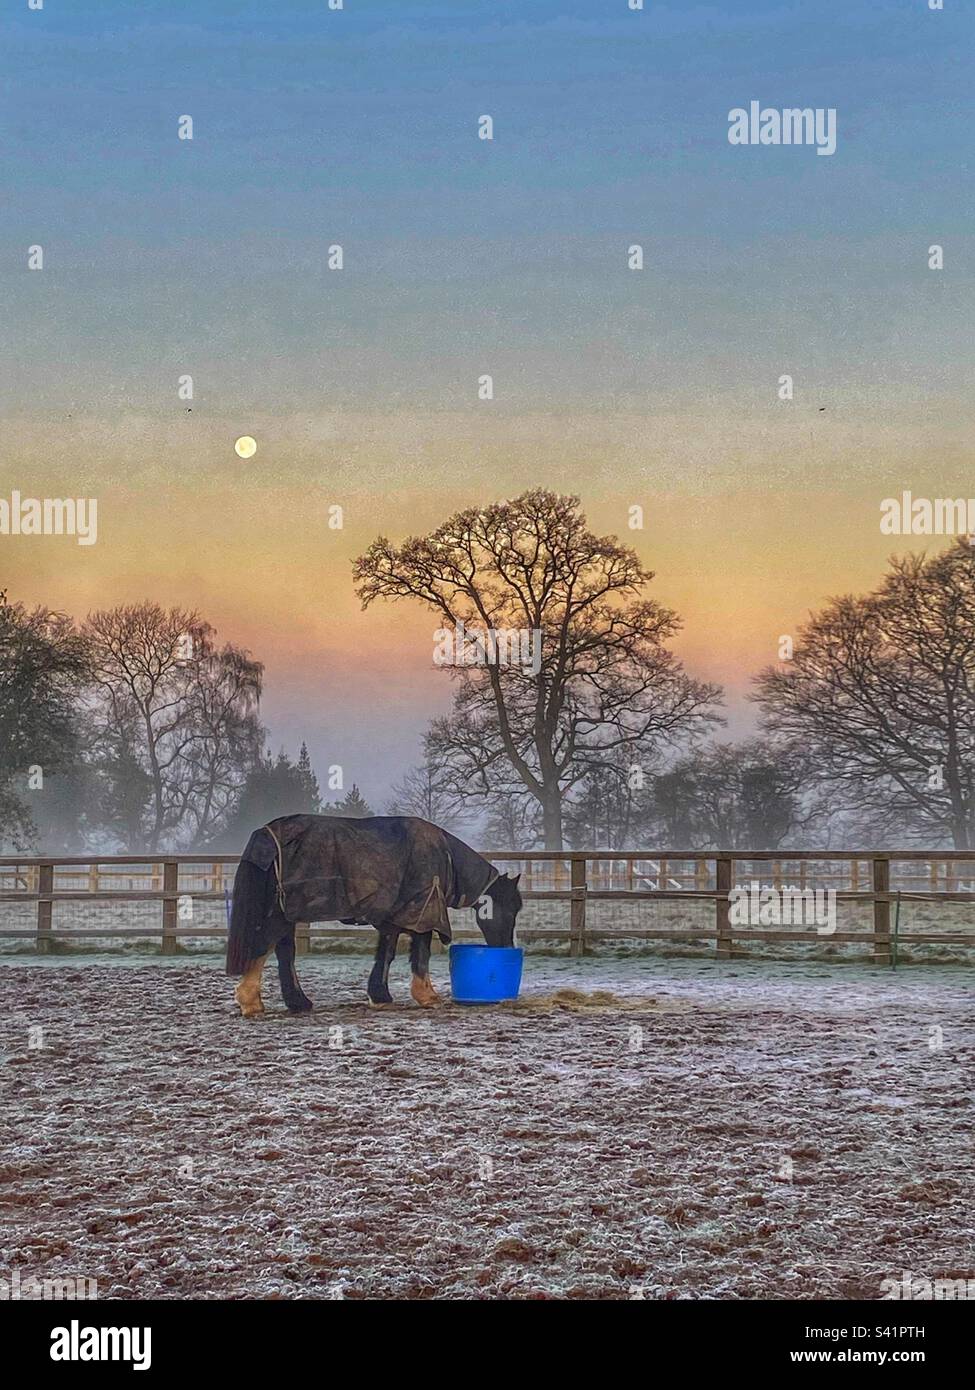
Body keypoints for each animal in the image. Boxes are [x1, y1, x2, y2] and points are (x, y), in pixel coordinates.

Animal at [225, 814, 522, 1016]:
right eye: (511, 908)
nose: (506, 947)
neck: (444, 857)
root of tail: (267, 834)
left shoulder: (393, 919)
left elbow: (386, 955)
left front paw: (380, 996)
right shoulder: (423, 913)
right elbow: (420, 954)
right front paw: (427, 996)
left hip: (286, 915)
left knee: (283, 953)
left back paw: (297, 1002)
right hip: (278, 915)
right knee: (263, 947)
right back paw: (250, 1002)